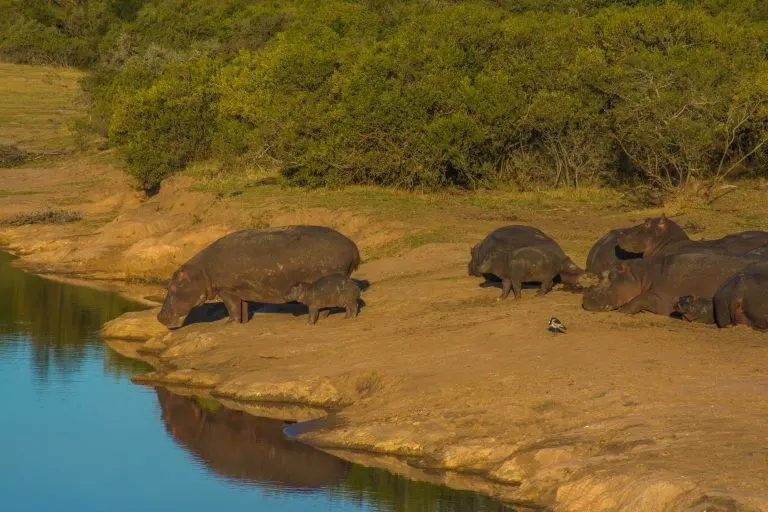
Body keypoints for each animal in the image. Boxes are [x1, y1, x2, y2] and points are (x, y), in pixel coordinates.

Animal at [158, 227, 362, 330]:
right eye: (167, 287)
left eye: (172, 288)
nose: (159, 316)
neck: (200, 272)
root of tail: (353, 246)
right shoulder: (242, 291)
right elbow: (243, 309)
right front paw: (243, 323)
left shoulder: (227, 291)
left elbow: (232, 309)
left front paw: (227, 323)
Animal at [584, 251, 760, 318]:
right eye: (602, 274)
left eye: (612, 275)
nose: (586, 298)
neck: (641, 275)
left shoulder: (662, 297)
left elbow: (641, 297)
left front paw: (624, 310)